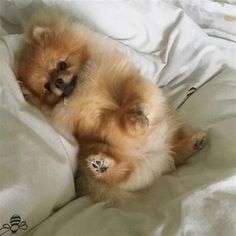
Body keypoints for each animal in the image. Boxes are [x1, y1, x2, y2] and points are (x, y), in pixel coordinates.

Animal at [15, 9, 206, 205]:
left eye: (62, 64)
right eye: (46, 87)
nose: (58, 82)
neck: (84, 89)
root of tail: (159, 158)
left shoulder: (124, 79)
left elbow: (134, 93)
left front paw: (138, 110)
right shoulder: (94, 123)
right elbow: (114, 122)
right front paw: (134, 122)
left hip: (169, 131)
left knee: (176, 151)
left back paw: (193, 144)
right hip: (100, 155)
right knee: (121, 172)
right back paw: (101, 165)